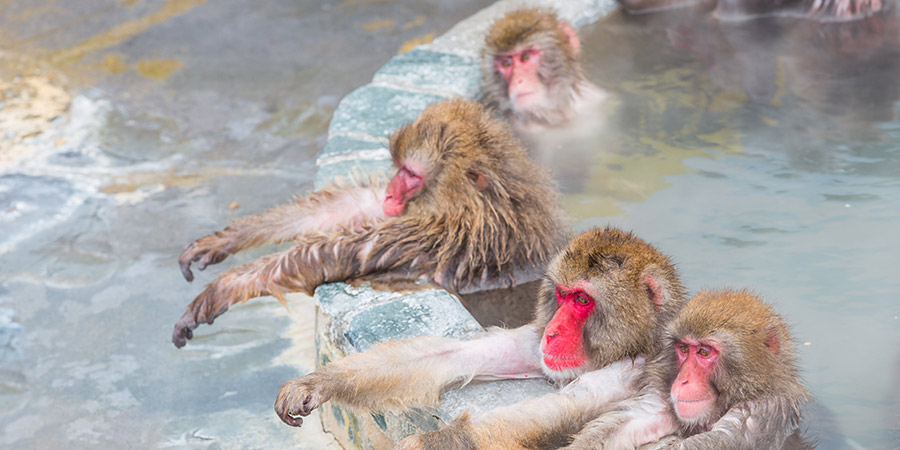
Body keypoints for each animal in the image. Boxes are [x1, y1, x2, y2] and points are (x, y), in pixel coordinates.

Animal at [172, 98, 568, 348]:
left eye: (411, 174)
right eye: (398, 170)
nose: (391, 192)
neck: (481, 207)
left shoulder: (437, 235)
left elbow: (329, 252)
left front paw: (221, 288)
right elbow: (354, 207)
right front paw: (227, 239)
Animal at [275, 227, 688, 449]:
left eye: (583, 300)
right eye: (561, 295)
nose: (553, 331)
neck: (630, 346)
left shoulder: (630, 373)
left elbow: (557, 413)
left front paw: (420, 443)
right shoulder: (535, 346)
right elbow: (454, 356)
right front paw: (318, 382)